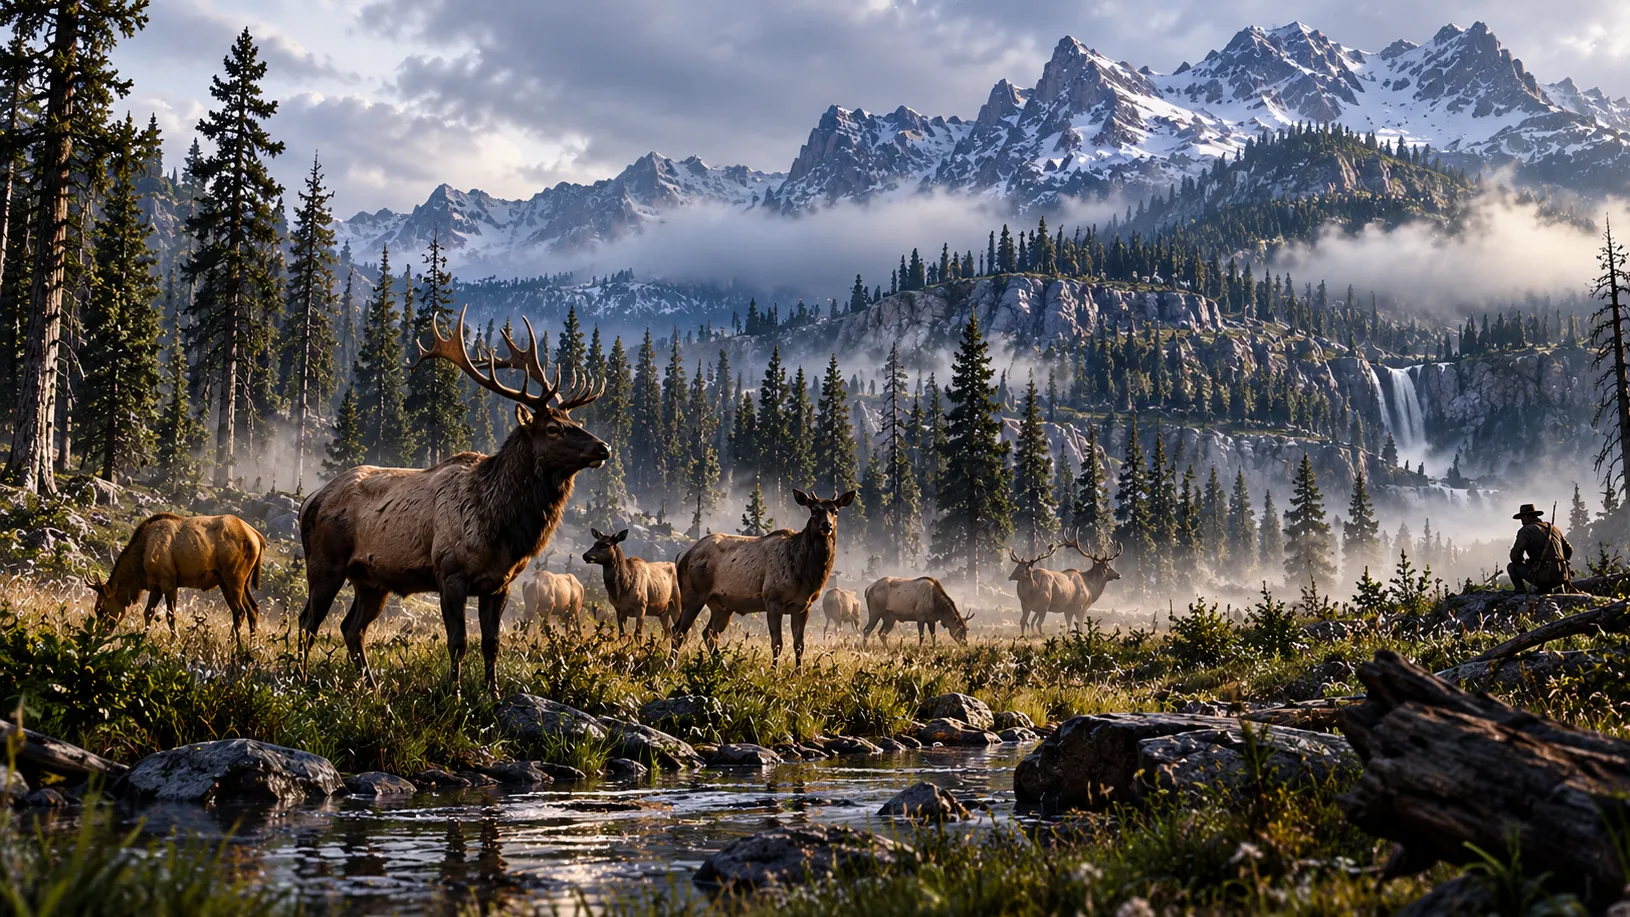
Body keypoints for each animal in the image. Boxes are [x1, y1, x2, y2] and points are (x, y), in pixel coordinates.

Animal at [88, 513, 267, 647]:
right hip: (234, 582)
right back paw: (251, 644)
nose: (98, 636)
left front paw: (174, 640)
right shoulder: (157, 585)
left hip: (233, 578)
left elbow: (170, 614)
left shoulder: (168, 581)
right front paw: (142, 637)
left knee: (240, 611)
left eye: (102, 609)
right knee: (252, 609)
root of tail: (257, 537)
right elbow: (148, 612)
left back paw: (233, 644)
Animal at [297, 307, 608, 697]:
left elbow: (491, 643)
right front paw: (455, 693)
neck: (501, 526)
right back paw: (300, 680)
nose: (603, 447)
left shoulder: (500, 584)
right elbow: (457, 641)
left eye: (572, 419)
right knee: (308, 621)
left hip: (371, 580)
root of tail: (309, 502)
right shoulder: (450, 574)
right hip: (325, 563)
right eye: (553, 428)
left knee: (352, 628)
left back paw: (372, 686)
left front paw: (493, 692)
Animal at [672, 489, 855, 666]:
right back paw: (672, 666)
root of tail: (682, 555)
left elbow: (799, 645)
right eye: (813, 510)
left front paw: (799, 672)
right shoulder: (772, 600)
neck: (805, 574)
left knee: (709, 633)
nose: (826, 525)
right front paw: (774, 671)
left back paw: (722, 665)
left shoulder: (803, 606)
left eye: (835, 511)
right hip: (693, 596)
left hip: (721, 605)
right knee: (678, 631)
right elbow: (777, 643)